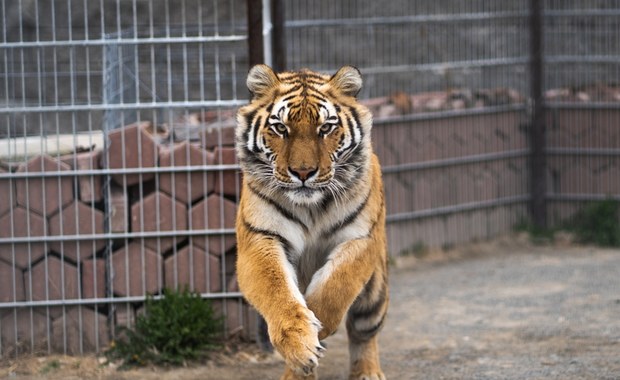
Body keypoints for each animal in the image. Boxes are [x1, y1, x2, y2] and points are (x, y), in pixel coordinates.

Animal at [236, 65, 388, 380]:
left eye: (326, 128)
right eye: (281, 128)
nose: (303, 172)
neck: (312, 207)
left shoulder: (359, 239)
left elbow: (335, 288)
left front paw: (318, 329)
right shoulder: (260, 238)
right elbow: (278, 292)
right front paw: (299, 342)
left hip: (374, 291)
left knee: (364, 331)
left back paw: (367, 372)